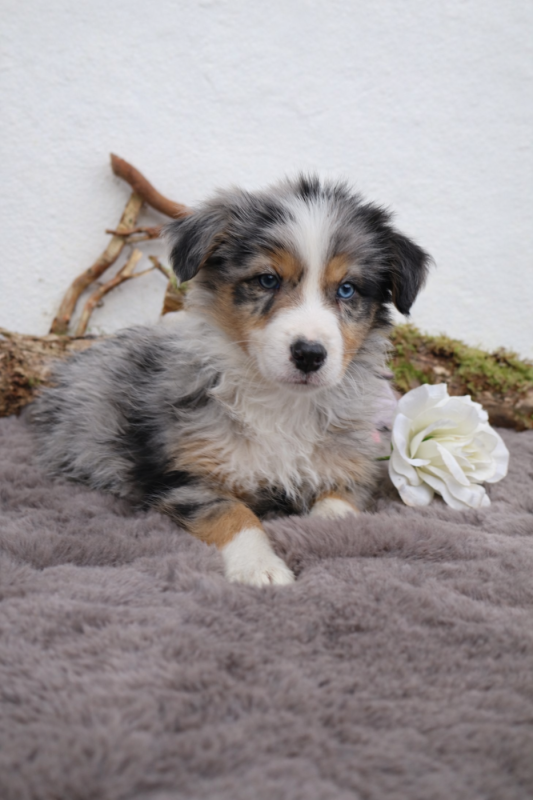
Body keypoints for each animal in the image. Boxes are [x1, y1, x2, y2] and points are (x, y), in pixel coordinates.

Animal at [31, 175, 430, 586]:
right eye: (267, 280)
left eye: (347, 289)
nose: (309, 355)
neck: (281, 404)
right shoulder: (187, 478)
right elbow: (235, 516)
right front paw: (260, 568)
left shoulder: (352, 469)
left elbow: (338, 506)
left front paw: (325, 532)